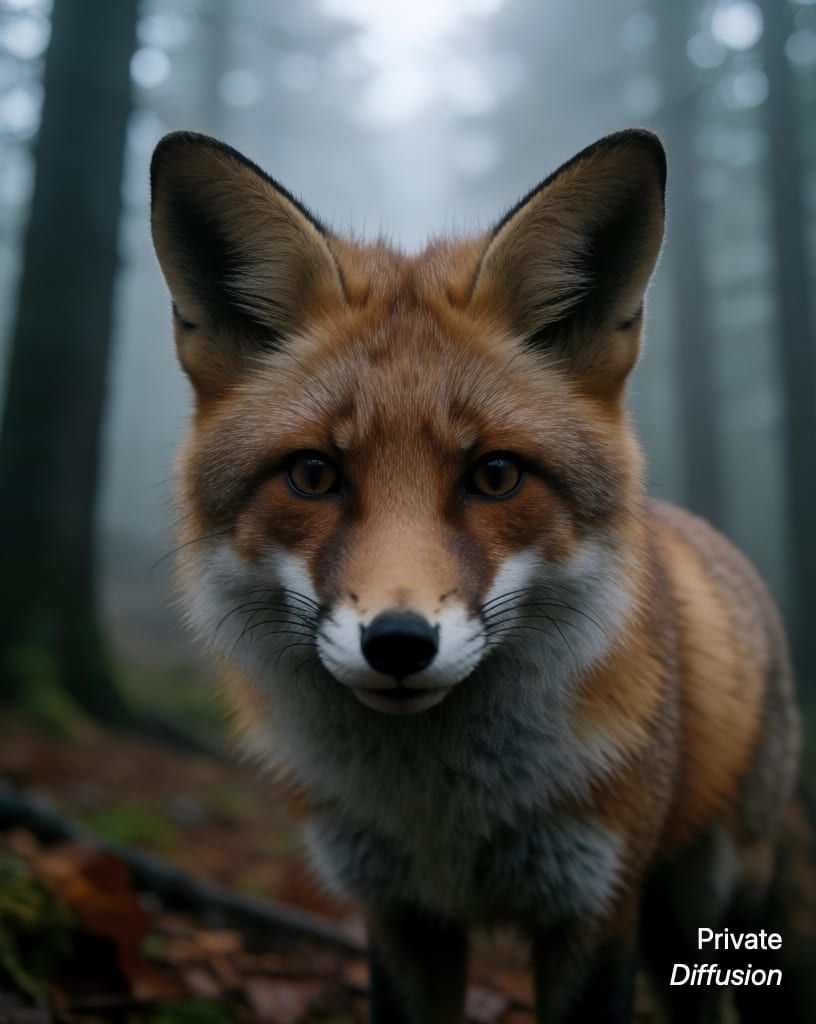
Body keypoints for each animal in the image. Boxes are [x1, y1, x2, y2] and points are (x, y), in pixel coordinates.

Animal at [150, 128, 802, 1023]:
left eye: (494, 476)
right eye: (313, 475)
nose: (397, 643)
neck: (444, 817)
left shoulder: (596, 904)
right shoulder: (398, 911)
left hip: (728, 899)